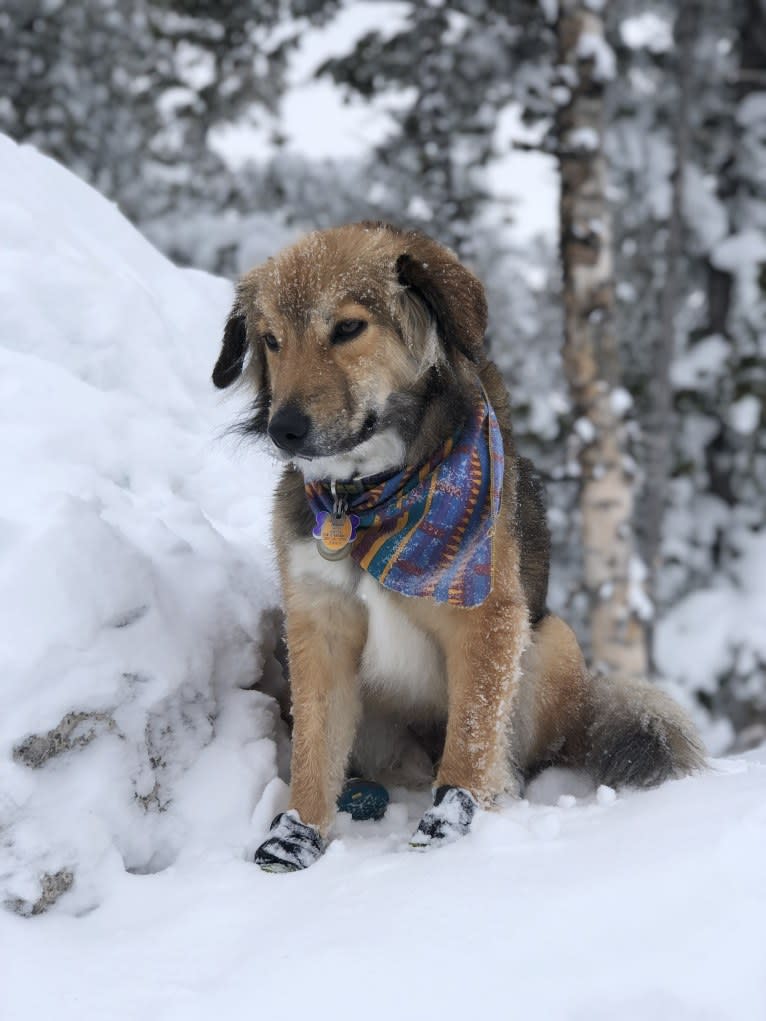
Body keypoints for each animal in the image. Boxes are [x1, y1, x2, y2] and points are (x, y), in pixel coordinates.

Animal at [213, 221, 706, 869]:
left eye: (347, 328)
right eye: (271, 340)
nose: (284, 430)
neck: (370, 494)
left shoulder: (490, 616)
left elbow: (472, 735)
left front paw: (450, 826)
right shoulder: (317, 625)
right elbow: (315, 747)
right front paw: (296, 836)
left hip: (552, 639)